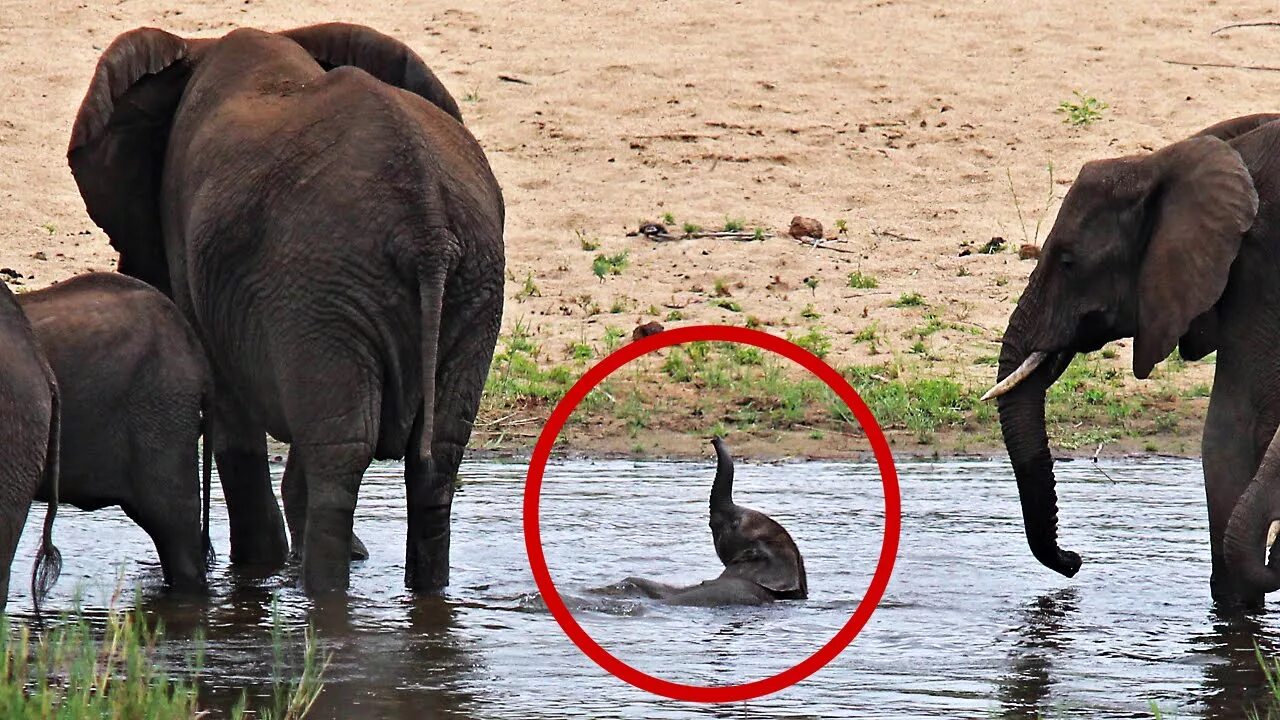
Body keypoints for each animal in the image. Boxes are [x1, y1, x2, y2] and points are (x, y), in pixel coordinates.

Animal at [67, 23, 501, 594]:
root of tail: (426, 226)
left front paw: (257, 567)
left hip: (329, 282)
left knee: (341, 454)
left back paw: (322, 594)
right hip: (465, 286)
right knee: (437, 454)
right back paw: (421, 594)